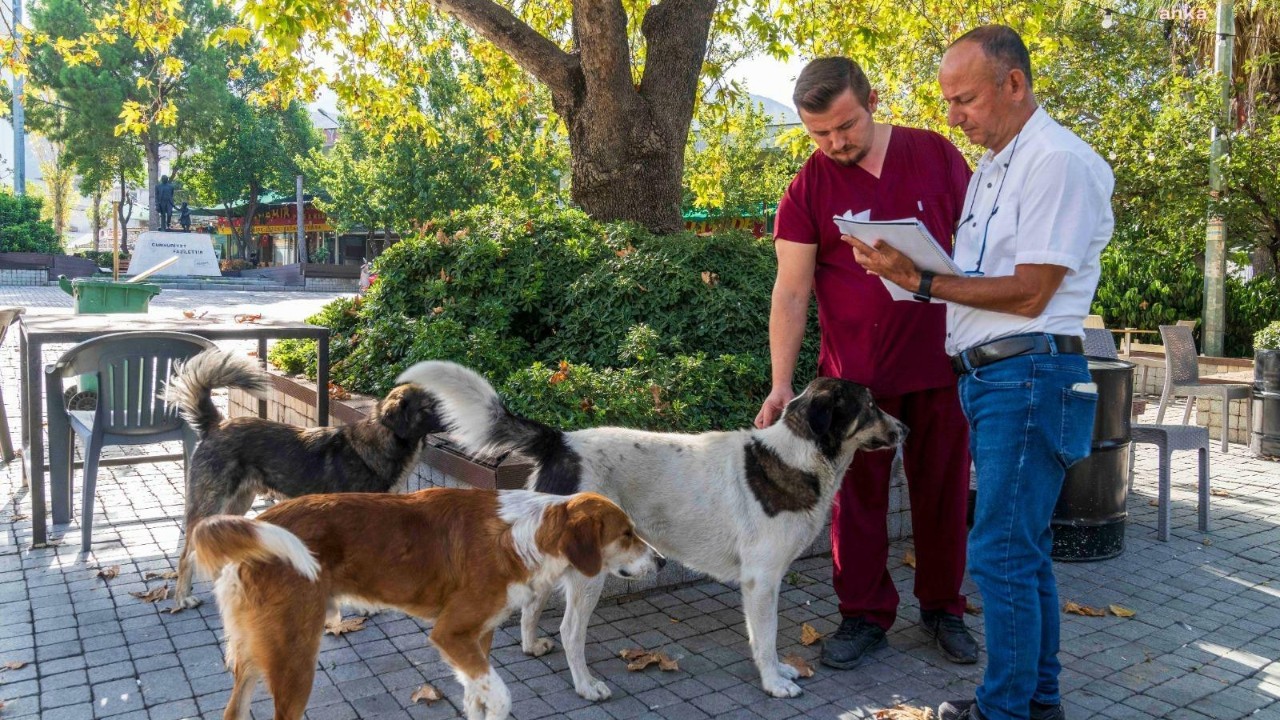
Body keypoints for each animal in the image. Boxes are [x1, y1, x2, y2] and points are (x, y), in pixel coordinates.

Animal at [189, 486, 660, 717]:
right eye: (626, 534)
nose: (660, 560)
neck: (524, 534)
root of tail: (260, 521)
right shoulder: (450, 633)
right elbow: (501, 699)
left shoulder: (476, 637)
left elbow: (477, 699)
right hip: (294, 658)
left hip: (258, 653)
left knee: (233, 711)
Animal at [394, 361, 906, 696]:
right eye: (871, 405)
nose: (904, 429)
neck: (797, 457)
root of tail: (561, 440)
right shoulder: (761, 582)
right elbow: (766, 637)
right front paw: (774, 681)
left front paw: (781, 671)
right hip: (590, 574)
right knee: (570, 631)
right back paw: (586, 686)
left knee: (532, 606)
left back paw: (530, 645)